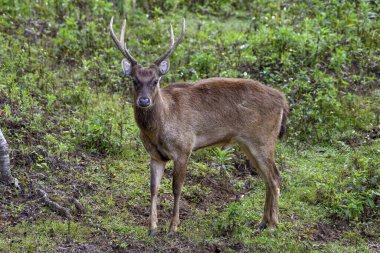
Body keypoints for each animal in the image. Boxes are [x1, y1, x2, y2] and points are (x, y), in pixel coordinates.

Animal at [108, 17, 290, 235]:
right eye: (134, 80)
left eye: (155, 81)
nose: (144, 101)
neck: (158, 129)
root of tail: (282, 100)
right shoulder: (155, 155)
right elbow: (153, 188)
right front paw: (152, 227)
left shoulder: (184, 148)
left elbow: (177, 188)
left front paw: (173, 227)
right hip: (248, 144)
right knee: (266, 178)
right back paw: (262, 222)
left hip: (263, 138)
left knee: (275, 177)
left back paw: (272, 225)